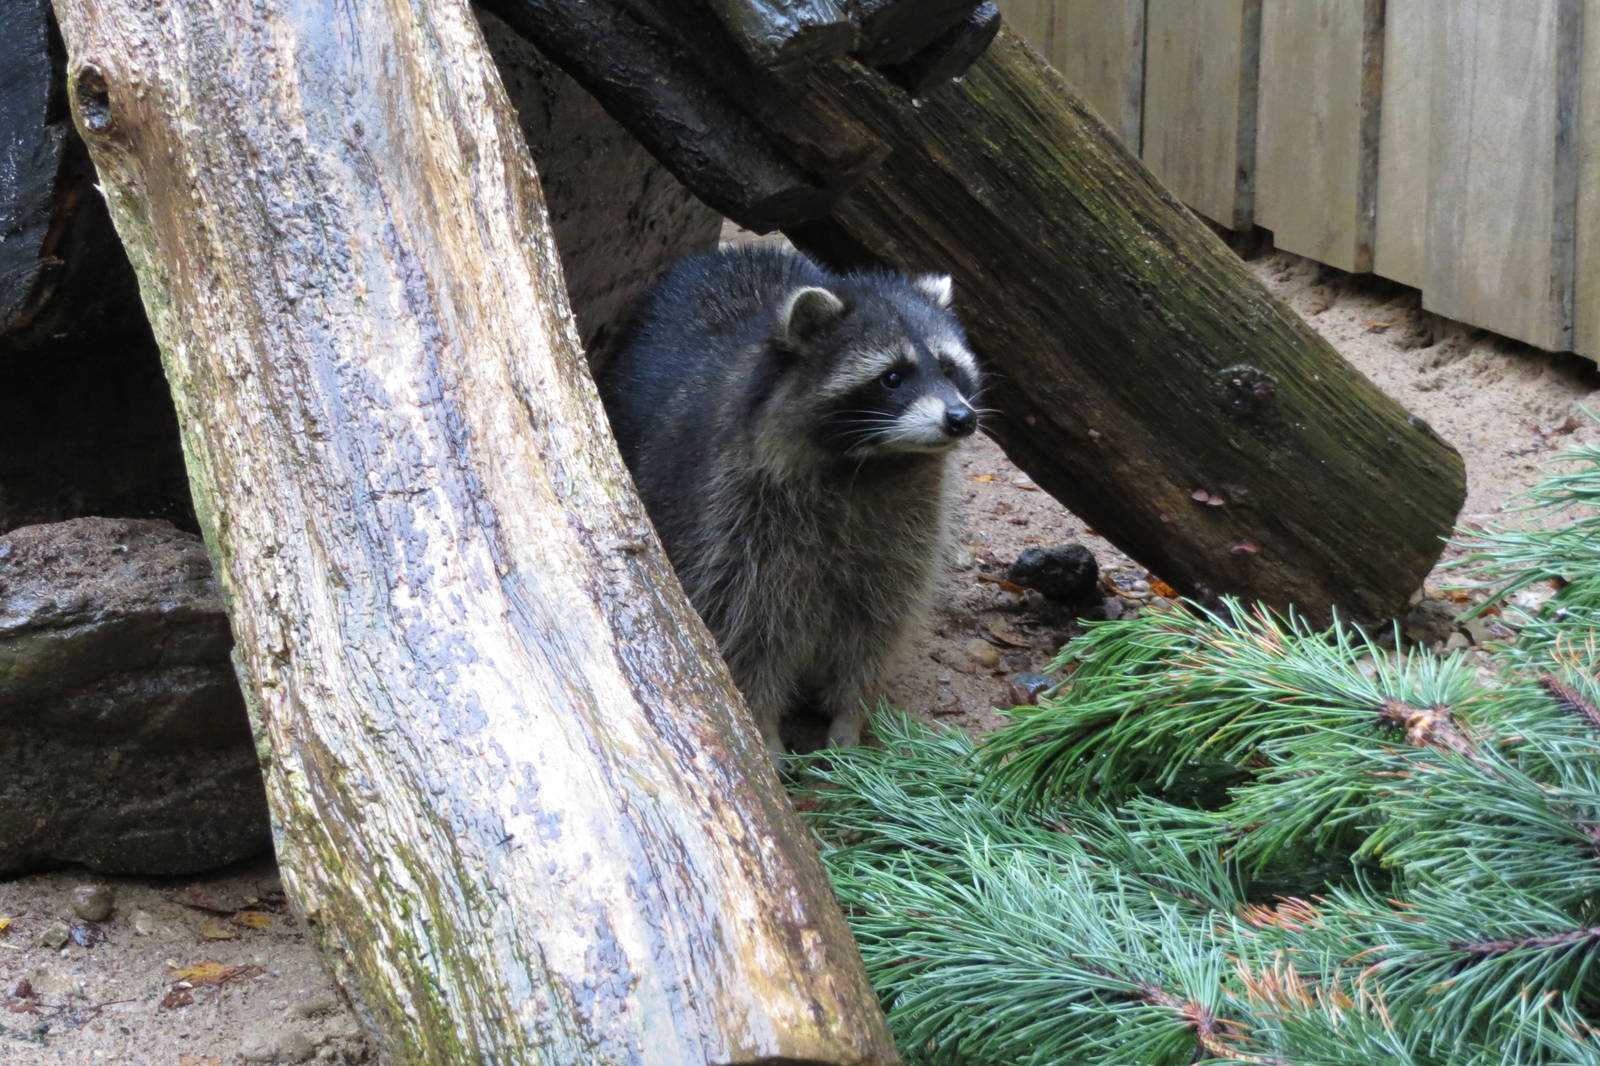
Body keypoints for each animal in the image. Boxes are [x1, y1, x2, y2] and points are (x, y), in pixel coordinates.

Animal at [598, 244, 981, 750]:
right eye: (893, 378)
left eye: (950, 368)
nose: (961, 418)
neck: (871, 465)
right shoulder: (728, 516)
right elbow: (746, 630)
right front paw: (764, 727)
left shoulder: (906, 528)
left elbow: (877, 624)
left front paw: (849, 715)